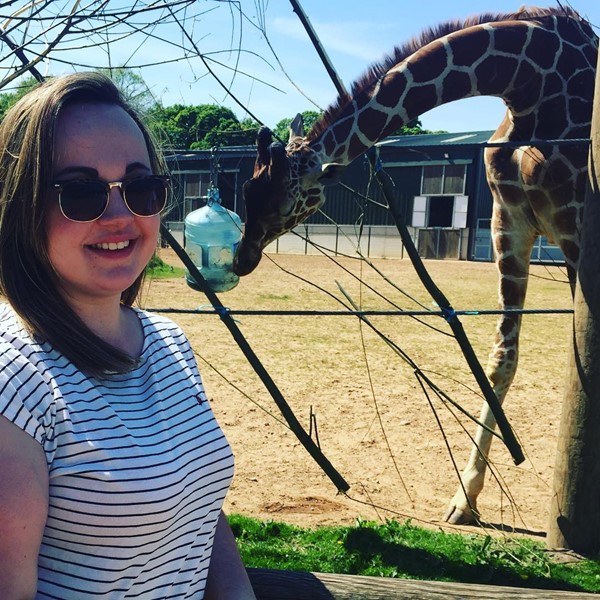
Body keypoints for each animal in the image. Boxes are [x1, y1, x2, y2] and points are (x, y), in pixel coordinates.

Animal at [232, 5, 596, 524]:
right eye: (246, 188)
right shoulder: (510, 222)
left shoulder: (574, 224)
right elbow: (501, 360)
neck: (530, 83)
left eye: (290, 201)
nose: (242, 258)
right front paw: (464, 499)